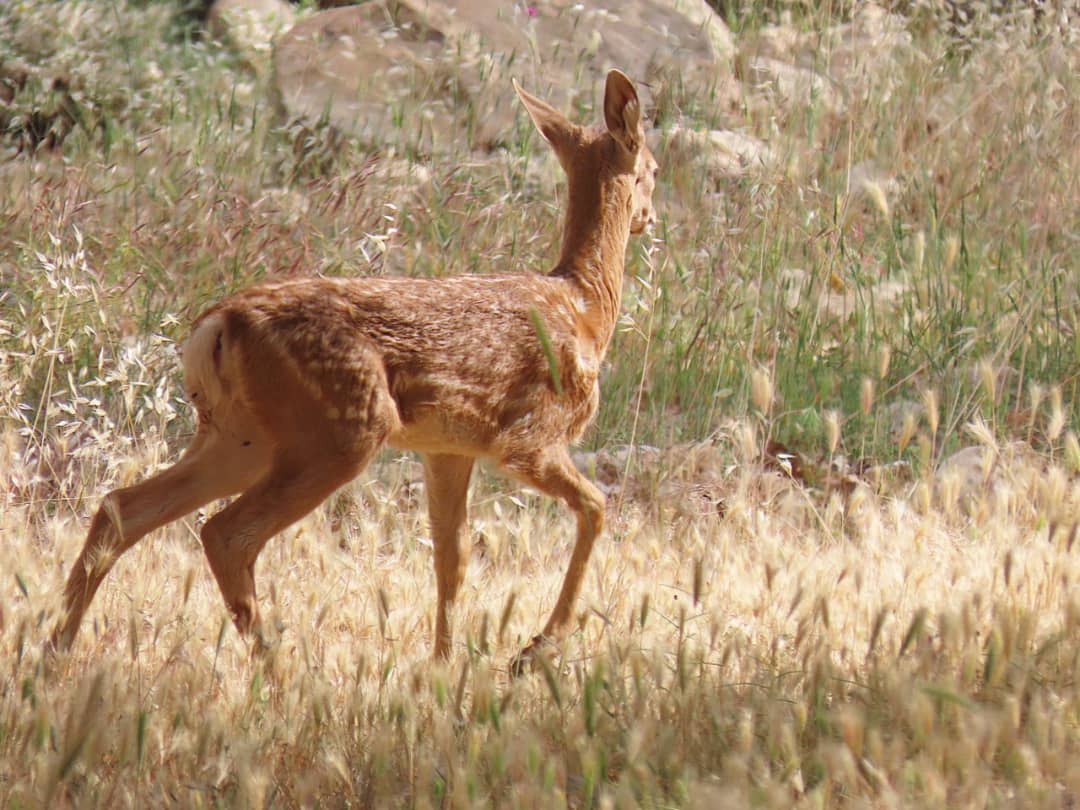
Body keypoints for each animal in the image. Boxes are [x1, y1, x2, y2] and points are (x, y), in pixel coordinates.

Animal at [52, 68, 656, 673]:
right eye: (651, 167)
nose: (649, 217)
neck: (585, 307)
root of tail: (218, 325)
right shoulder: (528, 437)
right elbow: (596, 507)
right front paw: (535, 649)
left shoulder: (449, 447)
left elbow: (452, 555)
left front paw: (444, 665)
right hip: (339, 428)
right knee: (227, 533)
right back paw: (280, 670)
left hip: (242, 436)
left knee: (122, 507)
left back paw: (55, 651)